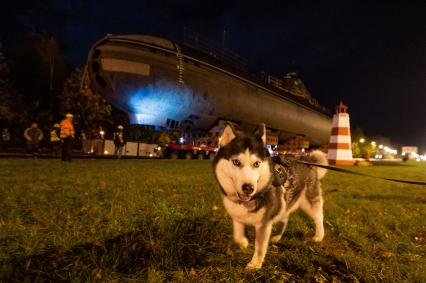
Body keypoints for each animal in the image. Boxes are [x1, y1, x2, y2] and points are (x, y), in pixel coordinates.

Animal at [211, 123, 328, 270]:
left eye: (256, 164)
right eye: (236, 162)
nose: (248, 188)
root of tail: (306, 159)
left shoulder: (264, 224)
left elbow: (260, 246)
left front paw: (255, 264)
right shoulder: (237, 216)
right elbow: (237, 235)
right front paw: (243, 243)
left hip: (309, 202)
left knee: (319, 217)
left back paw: (319, 236)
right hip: (285, 202)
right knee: (285, 217)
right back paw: (277, 237)